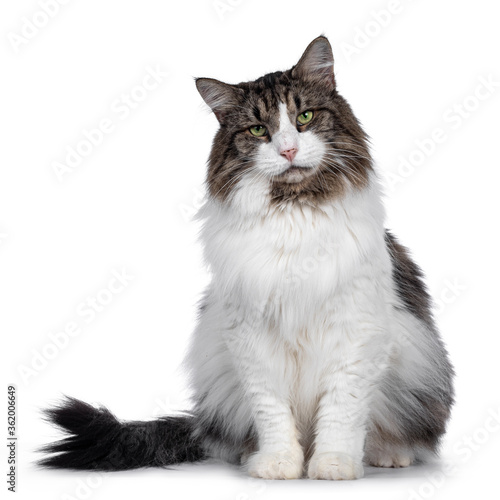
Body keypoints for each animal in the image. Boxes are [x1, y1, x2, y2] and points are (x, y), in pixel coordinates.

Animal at [39, 36, 454, 480]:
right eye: (258, 130)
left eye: (305, 117)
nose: (288, 150)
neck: (293, 212)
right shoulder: (251, 338)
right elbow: (272, 412)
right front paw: (278, 464)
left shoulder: (356, 334)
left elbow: (342, 411)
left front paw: (333, 464)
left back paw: (386, 455)